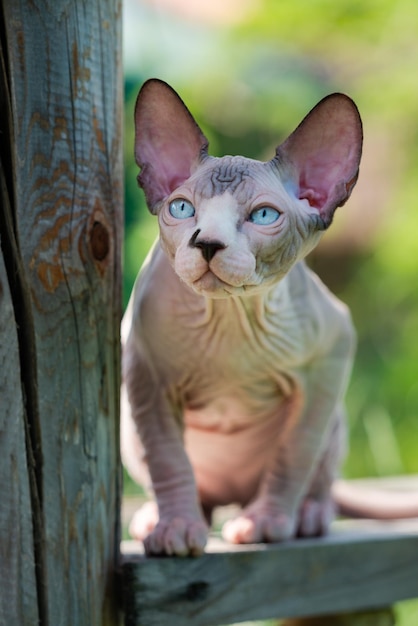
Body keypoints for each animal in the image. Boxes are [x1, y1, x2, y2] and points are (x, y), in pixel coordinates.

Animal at [121, 79, 418, 556]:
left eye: (263, 215)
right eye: (182, 208)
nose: (207, 244)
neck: (230, 316)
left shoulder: (333, 353)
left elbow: (294, 453)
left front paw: (267, 522)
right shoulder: (145, 372)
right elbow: (166, 458)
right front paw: (177, 528)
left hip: (335, 421)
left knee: (320, 476)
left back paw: (308, 514)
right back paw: (159, 516)